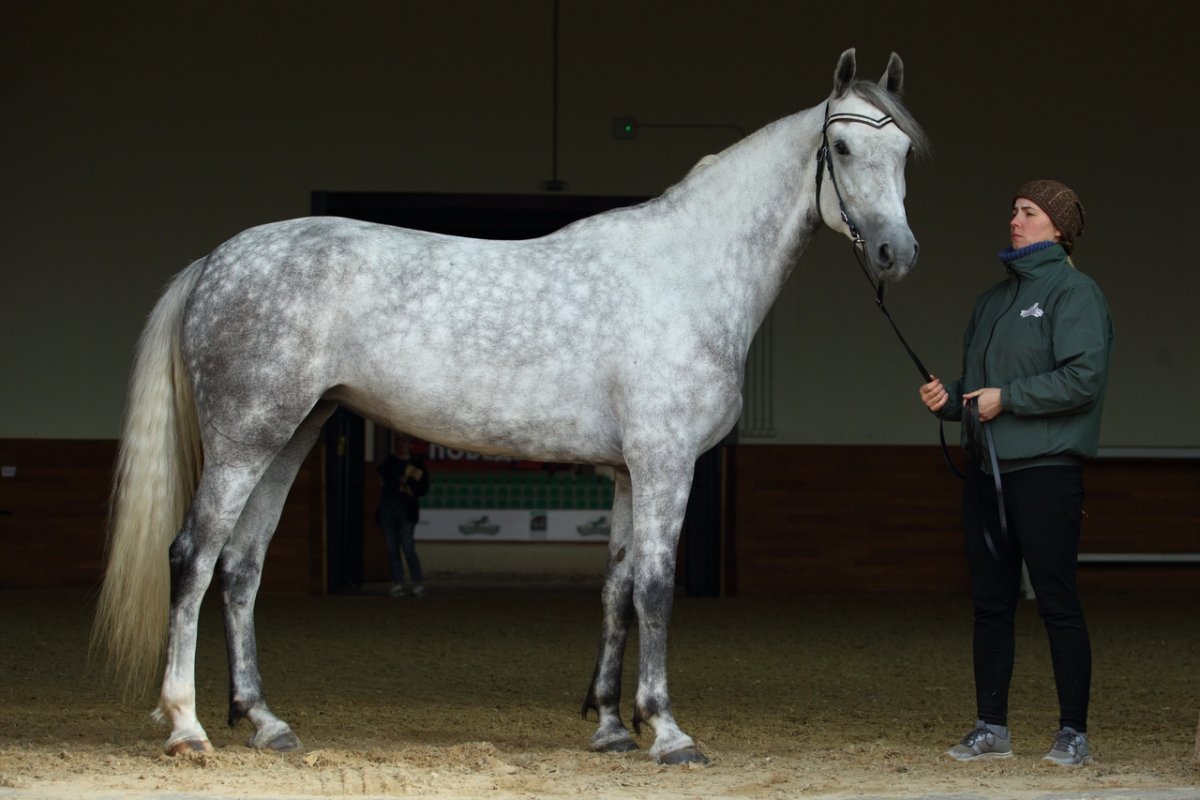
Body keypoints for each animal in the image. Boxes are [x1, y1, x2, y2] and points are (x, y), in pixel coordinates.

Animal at [98, 48, 931, 762]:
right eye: (843, 149)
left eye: (904, 154)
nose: (899, 255)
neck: (685, 272)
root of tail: (216, 260)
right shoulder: (664, 462)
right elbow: (656, 587)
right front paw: (666, 731)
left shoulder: (626, 470)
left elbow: (617, 587)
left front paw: (610, 725)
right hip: (246, 438)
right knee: (193, 556)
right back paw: (187, 727)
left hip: (293, 433)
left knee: (241, 565)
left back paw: (264, 721)